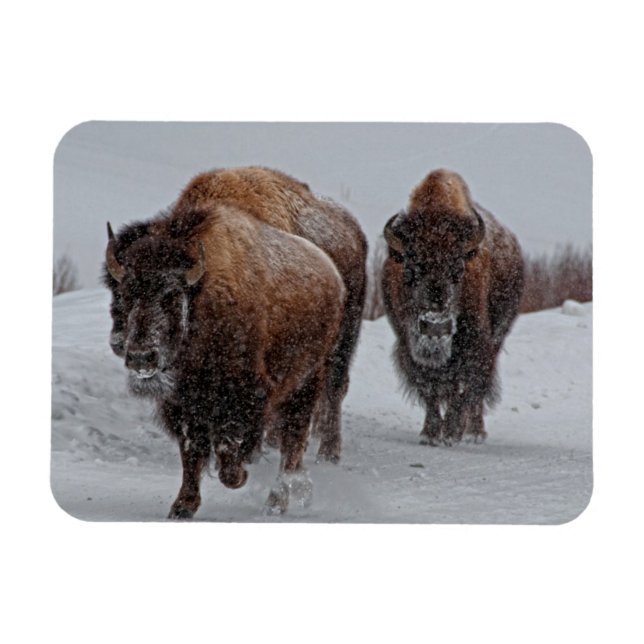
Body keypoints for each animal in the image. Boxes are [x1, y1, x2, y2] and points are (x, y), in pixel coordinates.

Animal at [103, 167, 367, 518]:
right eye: (123, 293)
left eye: (171, 296)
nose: (139, 356)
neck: (203, 294)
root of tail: (331, 273)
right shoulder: (184, 404)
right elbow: (192, 451)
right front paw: (182, 507)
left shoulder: (247, 394)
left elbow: (231, 445)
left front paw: (238, 475)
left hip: (312, 377)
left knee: (297, 437)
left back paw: (280, 498)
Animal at [382, 169, 524, 446]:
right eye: (409, 270)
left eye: (458, 270)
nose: (435, 328)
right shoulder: (407, 344)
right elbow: (429, 387)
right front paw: (430, 434)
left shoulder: (476, 344)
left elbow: (464, 387)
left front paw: (451, 433)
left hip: (497, 338)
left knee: (476, 391)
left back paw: (474, 432)